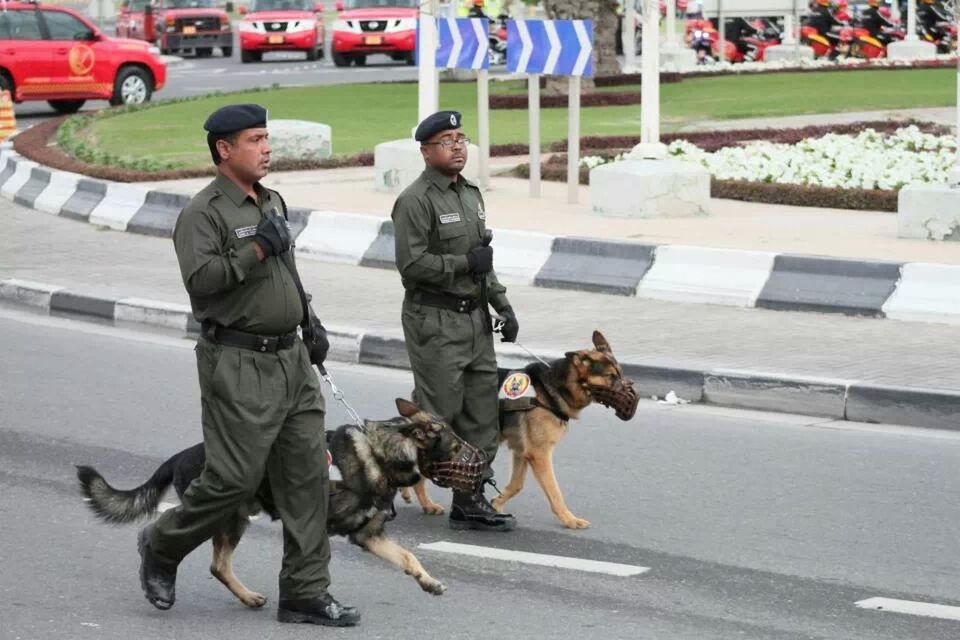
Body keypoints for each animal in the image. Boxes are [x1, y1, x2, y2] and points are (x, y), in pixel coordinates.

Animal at [78, 398, 462, 604]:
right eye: (457, 446)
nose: (478, 460)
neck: (383, 454)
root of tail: (179, 456)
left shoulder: (370, 536)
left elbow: (409, 557)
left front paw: (428, 582)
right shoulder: (320, 526)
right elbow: (314, 562)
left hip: (232, 520)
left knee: (218, 565)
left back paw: (246, 597)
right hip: (224, 515)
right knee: (189, 544)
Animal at [402, 330, 640, 528]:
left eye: (620, 373)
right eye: (611, 377)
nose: (632, 392)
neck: (554, 388)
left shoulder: (522, 452)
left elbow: (517, 484)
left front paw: (497, 503)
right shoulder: (540, 454)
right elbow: (555, 491)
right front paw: (569, 519)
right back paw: (425, 503)